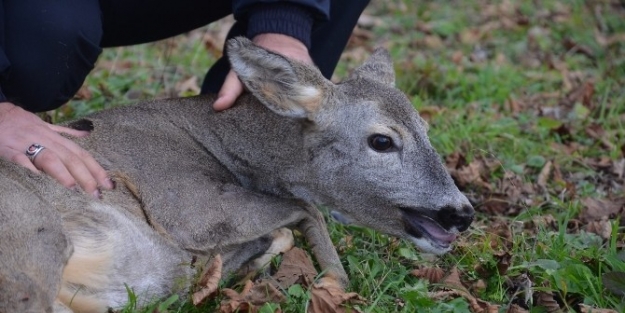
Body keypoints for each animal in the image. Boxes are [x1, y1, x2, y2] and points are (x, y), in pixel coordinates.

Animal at [0, 37, 472, 310]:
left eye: (426, 129)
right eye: (382, 141)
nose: (462, 213)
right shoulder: (184, 204)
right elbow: (305, 209)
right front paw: (334, 281)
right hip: (31, 237)